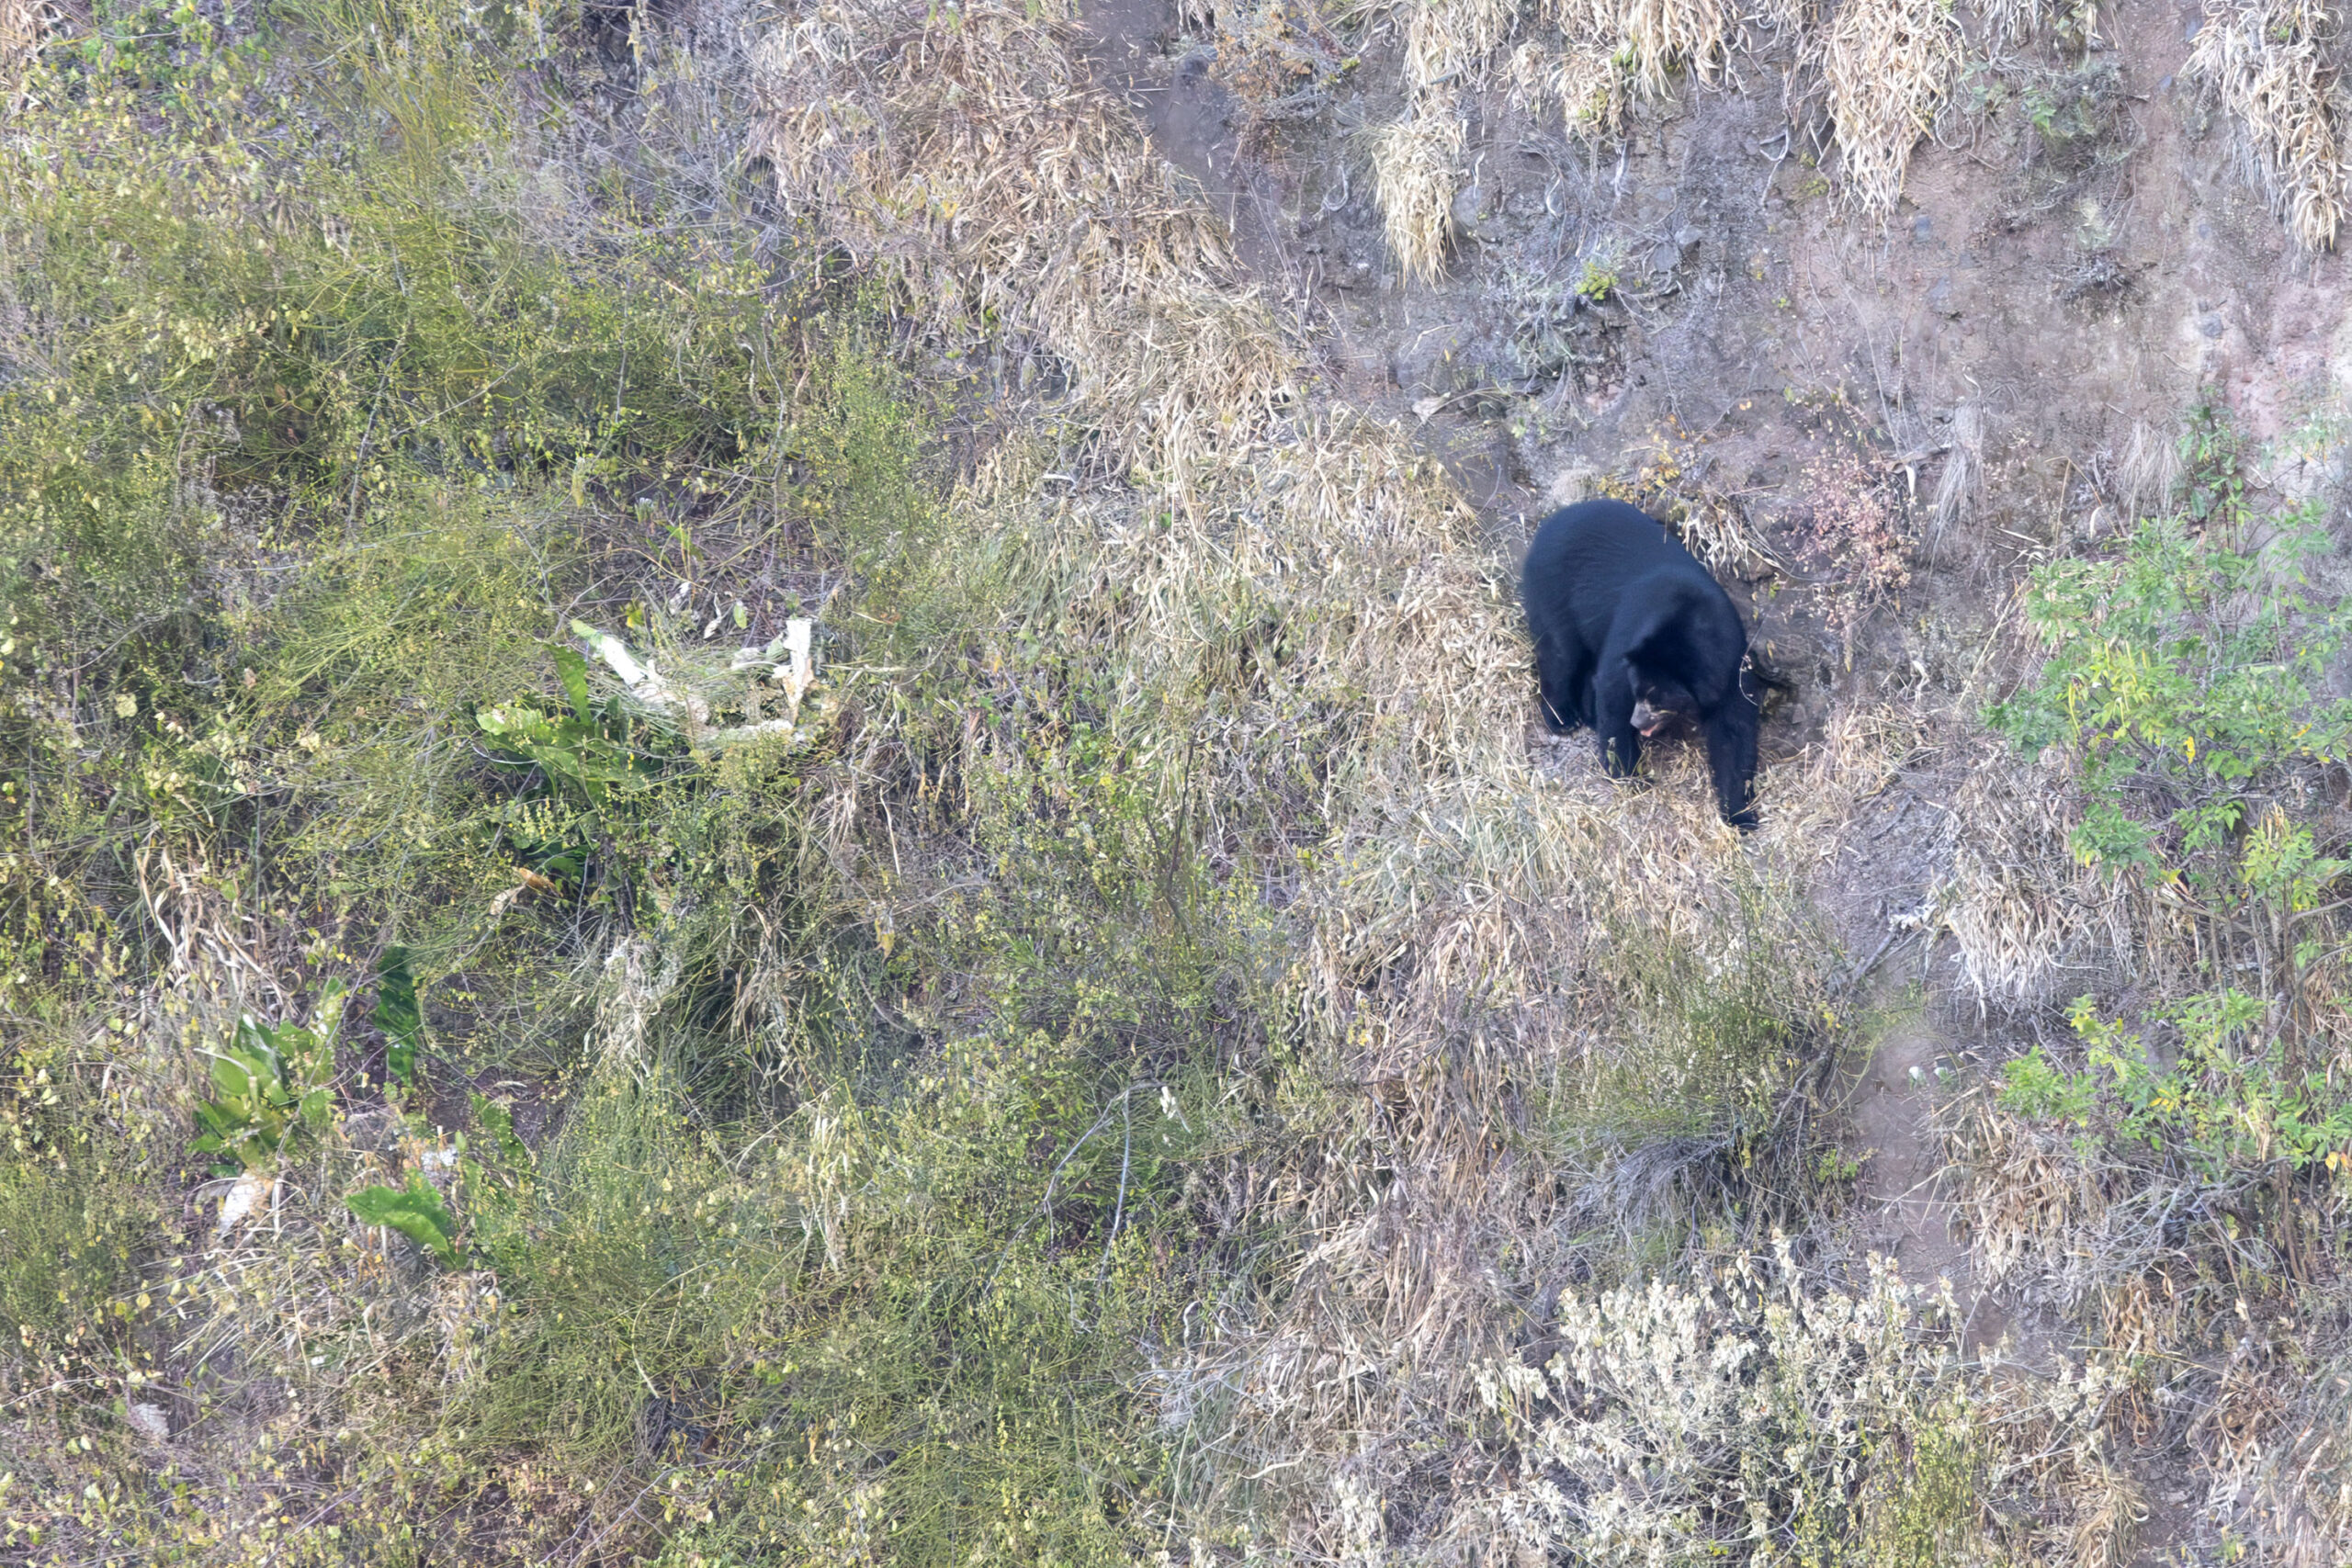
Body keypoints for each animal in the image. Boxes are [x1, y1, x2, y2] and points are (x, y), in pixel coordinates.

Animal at [1520, 498, 1761, 829]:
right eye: (1640, 692)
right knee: (1559, 652)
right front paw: (1631, 775)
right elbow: (1612, 695)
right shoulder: (1630, 638)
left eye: (1659, 701)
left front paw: (1740, 815)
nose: (1637, 722)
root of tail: (1550, 522)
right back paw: (1563, 717)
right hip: (1554, 585)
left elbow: (1734, 731)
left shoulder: (1732, 667)